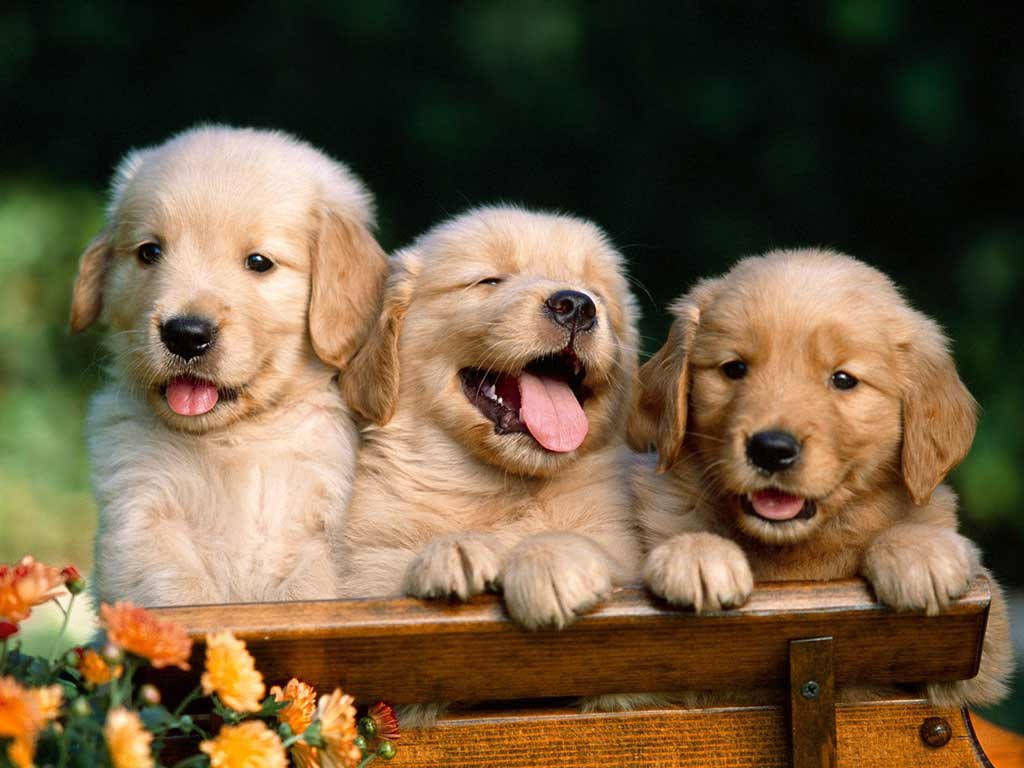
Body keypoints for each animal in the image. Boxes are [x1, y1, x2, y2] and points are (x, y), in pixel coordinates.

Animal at [70, 124, 385, 606]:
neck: (236, 440)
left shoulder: (328, 534)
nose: (185, 334)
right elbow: (180, 596)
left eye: (259, 262)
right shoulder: (141, 518)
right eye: (149, 252)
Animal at [335, 204, 638, 630]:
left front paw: (549, 562)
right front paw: (455, 551)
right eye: (488, 281)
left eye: (597, 294)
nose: (577, 306)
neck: (500, 488)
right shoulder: (367, 569)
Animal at [626, 247, 1011, 708]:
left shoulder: (981, 653)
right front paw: (697, 554)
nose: (771, 450)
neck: (793, 558)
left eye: (843, 379)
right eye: (734, 369)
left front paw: (918, 552)